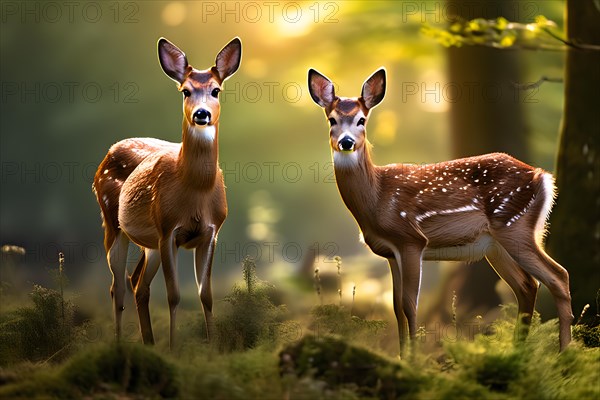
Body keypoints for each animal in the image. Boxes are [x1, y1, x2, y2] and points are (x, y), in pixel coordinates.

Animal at [92, 38, 241, 350]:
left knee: (138, 283)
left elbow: (206, 295)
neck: (195, 192)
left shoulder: (211, 231)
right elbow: (174, 295)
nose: (201, 114)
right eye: (186, 91)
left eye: (216, 90)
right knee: (117, 286)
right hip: (113, 223)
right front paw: (174, 348)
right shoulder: (168, 228)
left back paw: (149, 343)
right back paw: (121, 344)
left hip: (149, 243)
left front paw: (213, 349)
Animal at [308, 66, 576, 356]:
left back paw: (564, 354)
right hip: (496, 245)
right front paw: (402, 356)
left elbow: (409, 305)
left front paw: (414, 359)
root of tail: (542, 176)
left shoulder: (411, 240)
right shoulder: (390, 252)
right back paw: (518, 352)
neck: (377, 198)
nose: (346, 142)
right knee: (527, 285)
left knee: (558, 276)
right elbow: (396, 308)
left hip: (514, 225)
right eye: (332, 120)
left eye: (361, 120)